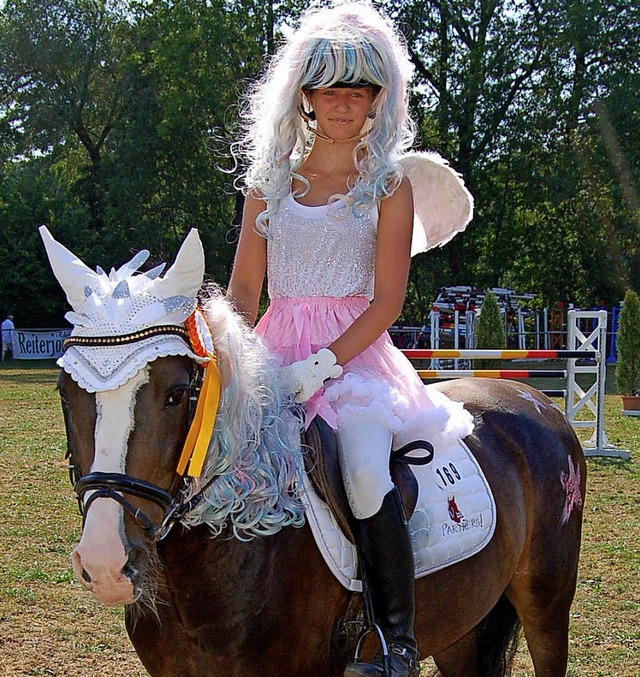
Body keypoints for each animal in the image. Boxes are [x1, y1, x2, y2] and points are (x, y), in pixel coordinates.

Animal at [43, 228, 584, 676]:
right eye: (64, 391)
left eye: (176, 393)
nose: (107, 564)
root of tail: (534, 399)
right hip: (462, 622)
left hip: (548, 607)